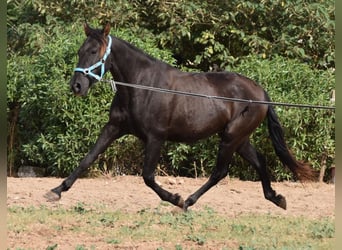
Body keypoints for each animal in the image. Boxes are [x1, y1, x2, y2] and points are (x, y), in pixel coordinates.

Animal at [45, 23, 316, 211]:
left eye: (94, 51)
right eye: (80, 51)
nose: (76, 86)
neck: (142, 85)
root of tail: (260, 93)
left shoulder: (155, 137)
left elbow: (148, 176)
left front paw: (174, 198)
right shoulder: (114, 127)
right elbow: (87, 159)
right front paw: (56, 190)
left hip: (231, 137)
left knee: (219, 172)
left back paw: (187, 202)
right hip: (239, 138)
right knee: (259, 161)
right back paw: (276, 198)